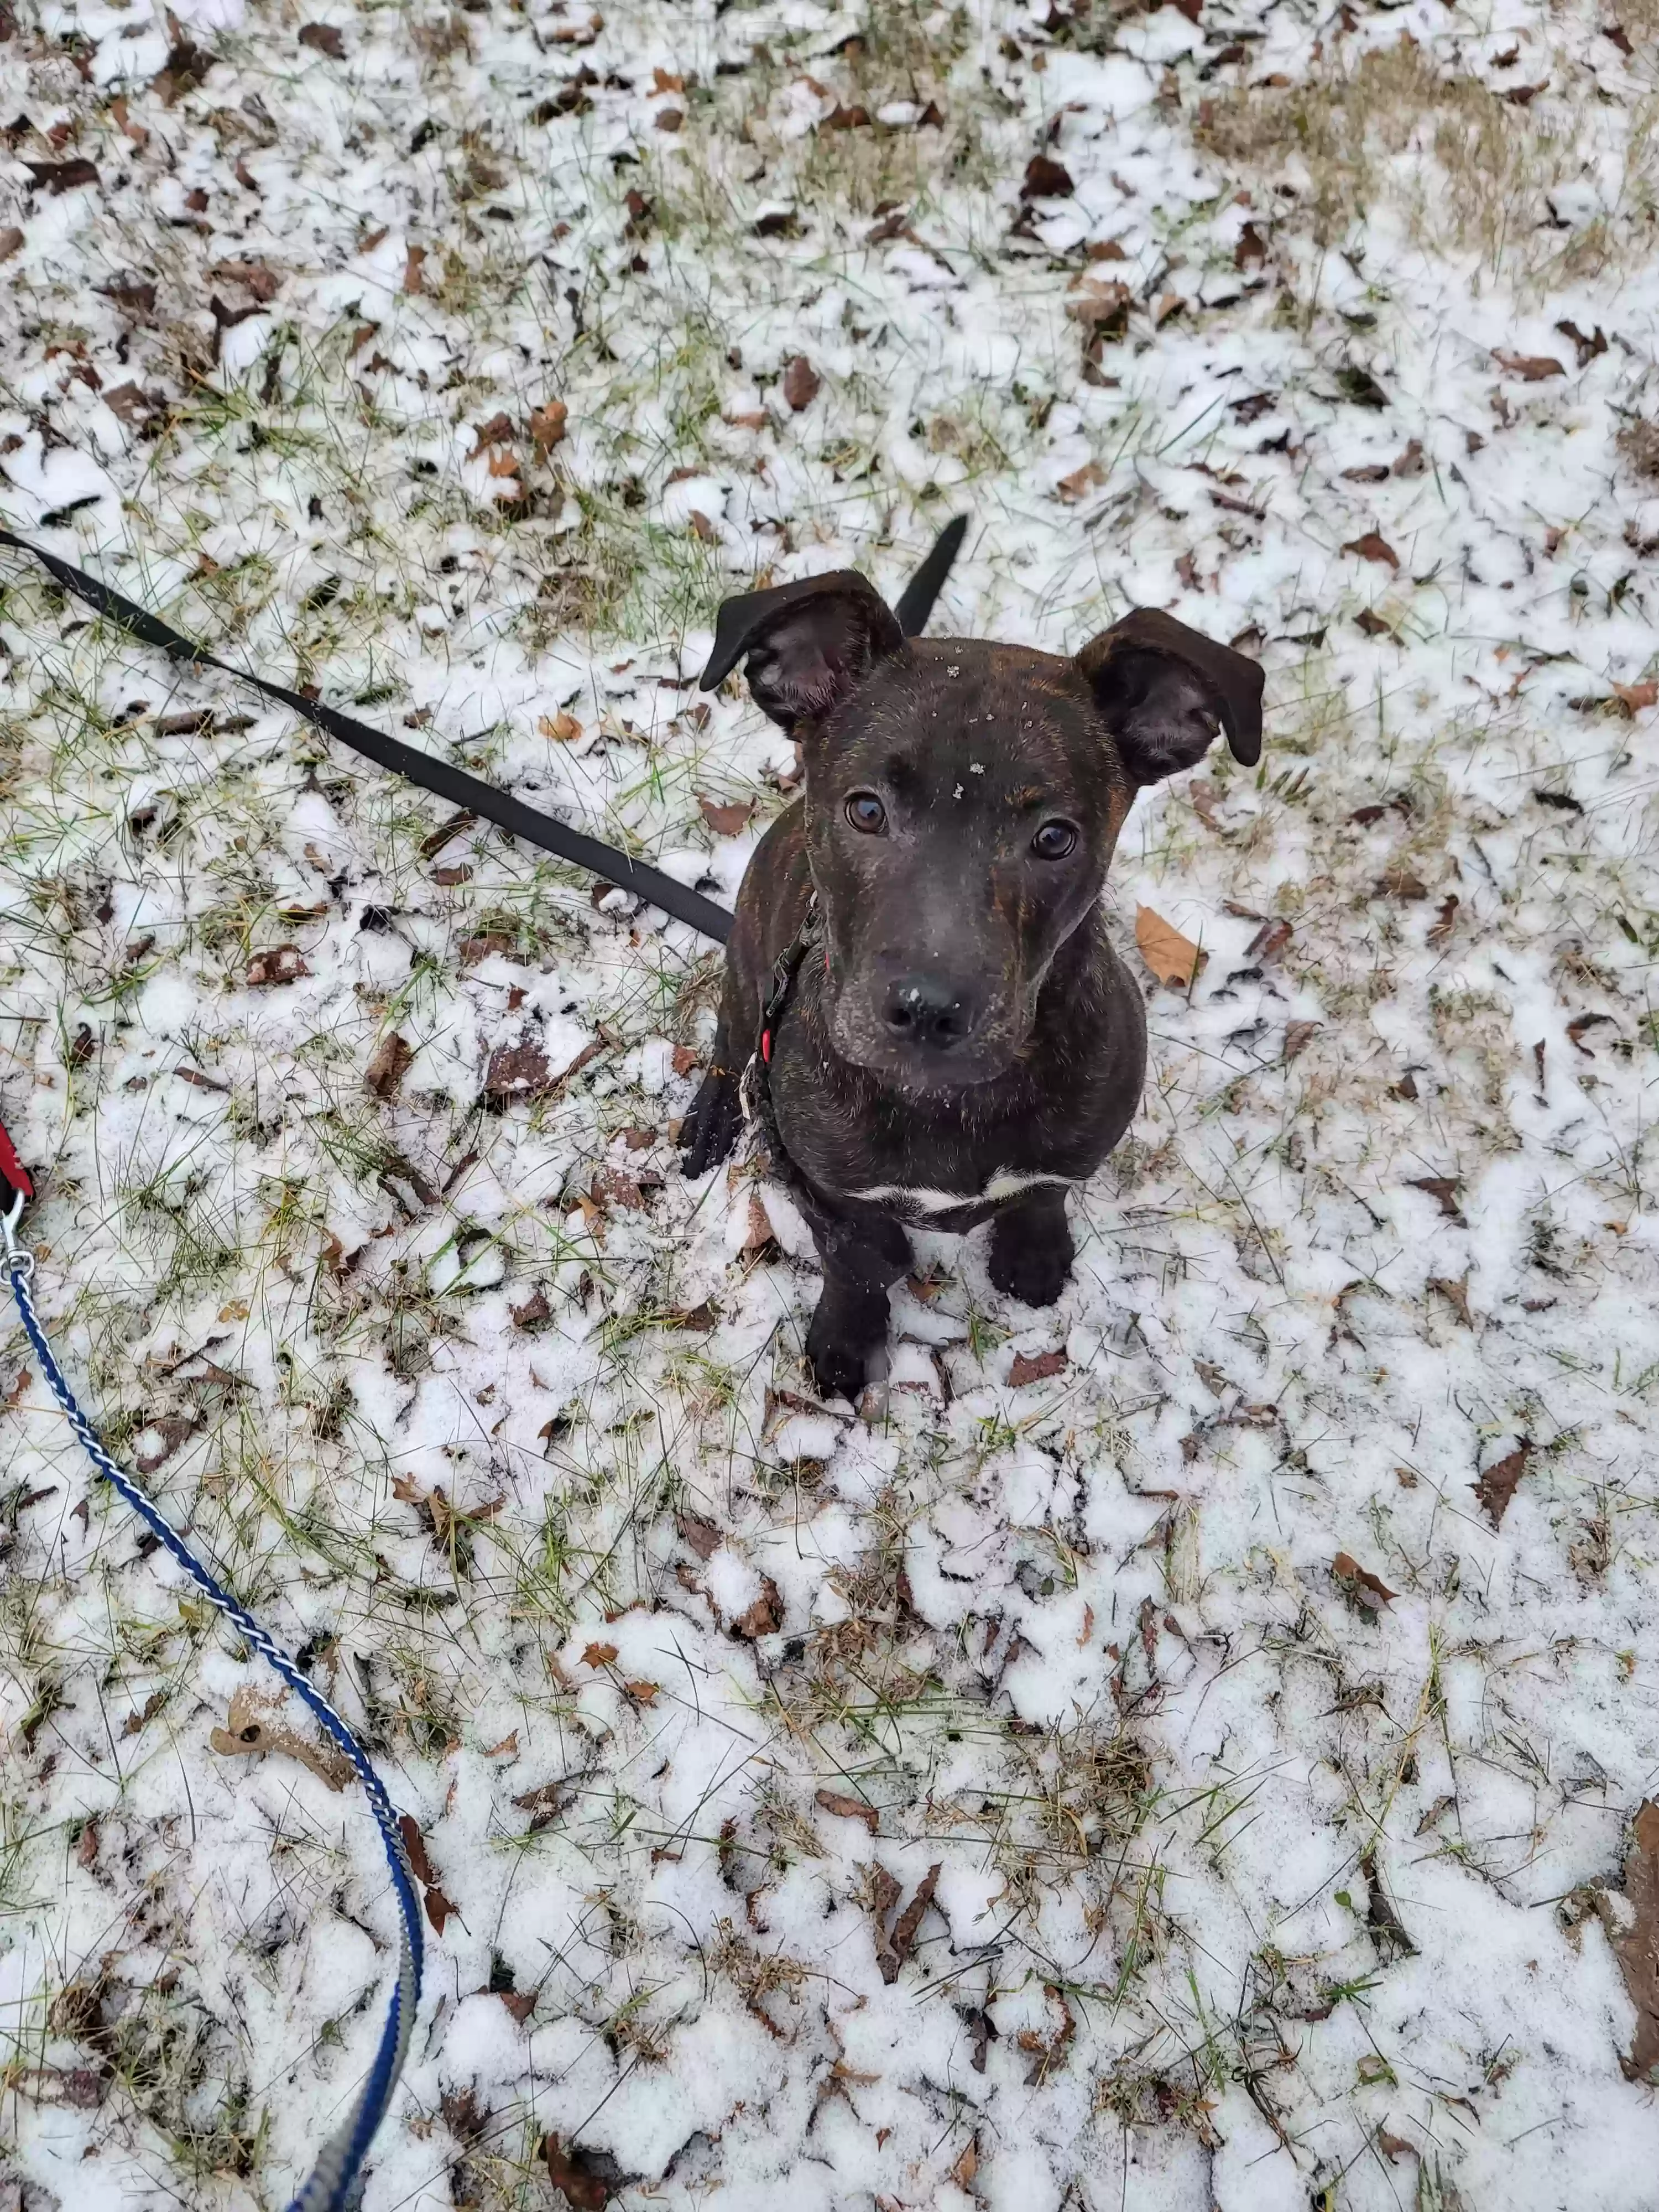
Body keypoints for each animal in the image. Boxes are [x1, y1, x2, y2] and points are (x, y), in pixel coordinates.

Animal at [681, 557, 1265, 1398]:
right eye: (866, 810)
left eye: (1054, 838)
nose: (927, 1011)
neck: (949, 1102)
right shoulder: (815, 1179)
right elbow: (855, 1257)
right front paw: (850, 1335)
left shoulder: (1072, 1148)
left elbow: (1044, 1192)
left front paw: (1033, 1253)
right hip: (747, 961)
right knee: (731, 1040)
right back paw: (709, 1120)